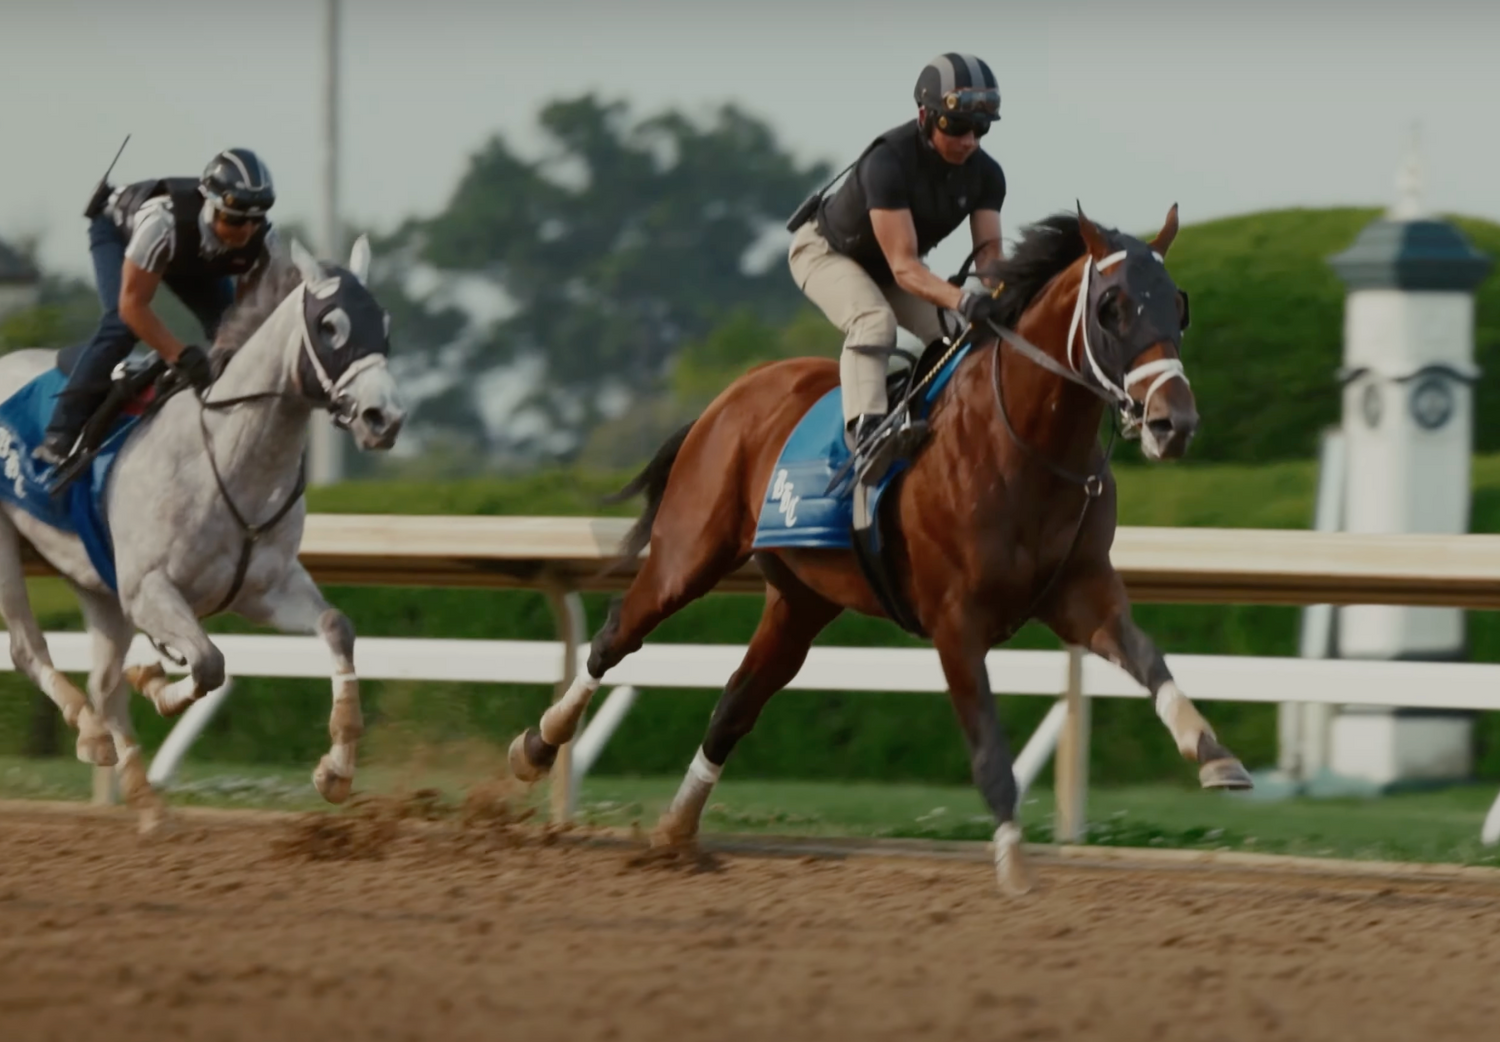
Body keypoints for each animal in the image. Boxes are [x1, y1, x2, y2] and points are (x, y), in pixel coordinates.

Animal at [0, 237, 405, 829]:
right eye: (330, 325)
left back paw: (143, 796)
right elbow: (210, 663)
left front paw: (336, 768)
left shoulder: (265, 588)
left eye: (385, 325)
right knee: (30, 650)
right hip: (10, 548)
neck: (230, 454)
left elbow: (336, 627)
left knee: (103, 681)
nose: (385, 418)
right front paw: (156, 685)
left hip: (95, 582)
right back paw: (92, 732)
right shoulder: (150, 591)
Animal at [507, 204, 1252, 894]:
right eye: (1112, 306)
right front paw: (1014, 862)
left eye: (1178, 306)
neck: (1024, 446)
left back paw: (675, 830)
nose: (1173, 423)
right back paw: (536, 747)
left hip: (801, 600)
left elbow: (1149, 659)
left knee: (737, 702)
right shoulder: (956, 621)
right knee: (616, 635)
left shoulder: (1080, 593)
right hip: (689, 554)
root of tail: (731, 397)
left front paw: (1214, 753)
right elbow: (988, 744)